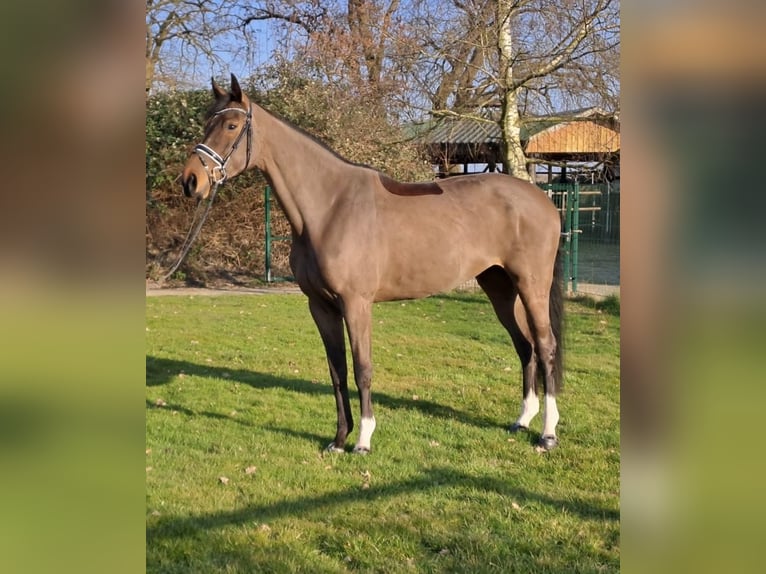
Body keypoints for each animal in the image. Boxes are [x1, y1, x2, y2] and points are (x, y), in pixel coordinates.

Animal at [180, 75, 564, 454]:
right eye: (205, 122)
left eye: (231, 125)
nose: (191, 181)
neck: (329, 207)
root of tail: (542, 199)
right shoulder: (320, 306)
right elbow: (337, 371)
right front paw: (338, 440)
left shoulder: (356, 304)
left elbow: (362, 368)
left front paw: (363, 439)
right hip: (499, 286)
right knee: (525, 346)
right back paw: (522, 420)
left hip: (531, 285)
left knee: (545, 347)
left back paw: (547, 435)